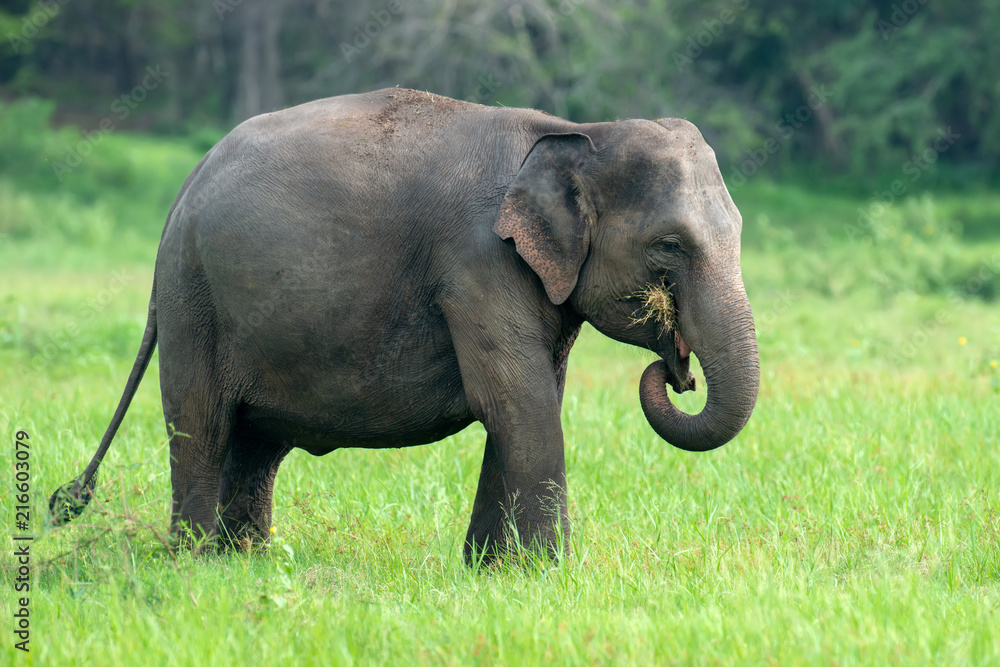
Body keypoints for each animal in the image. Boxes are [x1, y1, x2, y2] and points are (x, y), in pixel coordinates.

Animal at [50, 88, 759, 563]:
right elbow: (517, 400)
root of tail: (183, 189)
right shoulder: (477, 262)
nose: (675, 372)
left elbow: (528, 402)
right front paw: (550, 574)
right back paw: (193, 564)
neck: (575, 132)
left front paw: (491, 574)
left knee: (253, 442)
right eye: (669, 246)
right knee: (201, 423)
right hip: (193, 299)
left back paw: (241, 562)